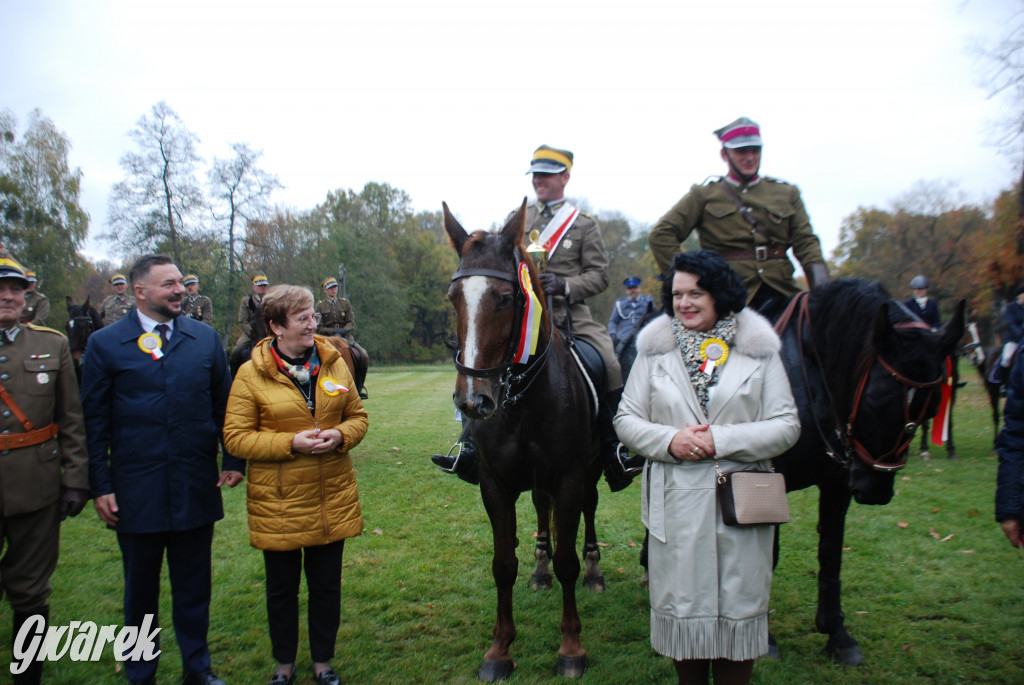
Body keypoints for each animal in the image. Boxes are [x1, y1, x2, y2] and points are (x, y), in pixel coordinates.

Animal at [444, 197, 602, 679]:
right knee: (539, 509)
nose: (473, 399)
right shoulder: (495, 485)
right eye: (453, 298)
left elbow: (568, 560)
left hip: (591, 470)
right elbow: (503, 564)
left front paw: (571, 647)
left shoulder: (569, 478)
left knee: (589, 511)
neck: (522, 400)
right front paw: (499, 649)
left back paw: (594, 571)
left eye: (506, 298)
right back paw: (540, 568)